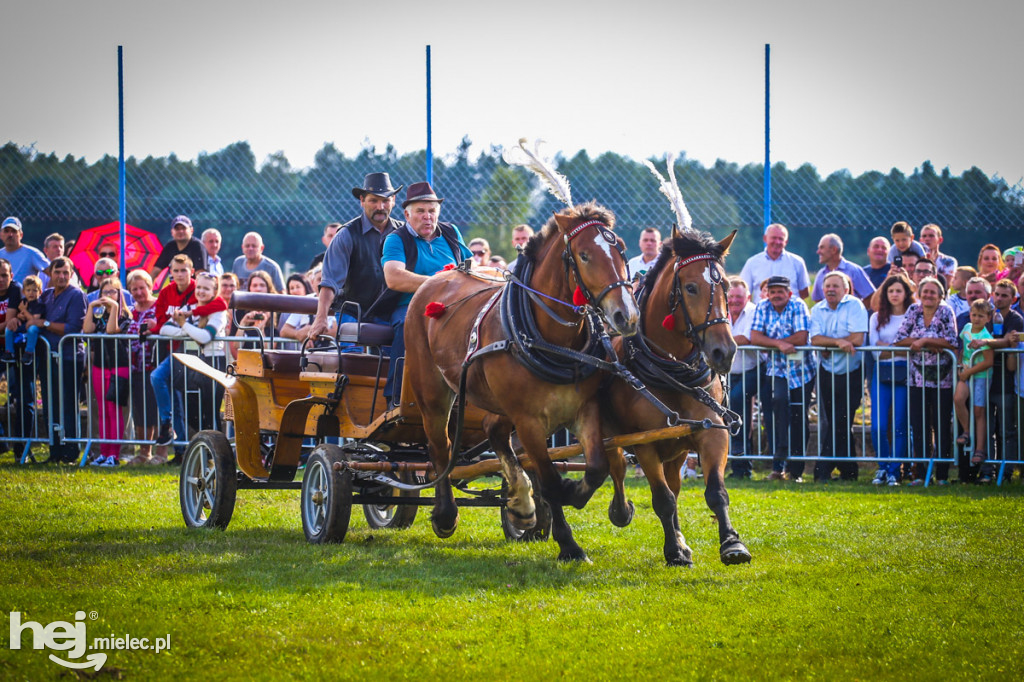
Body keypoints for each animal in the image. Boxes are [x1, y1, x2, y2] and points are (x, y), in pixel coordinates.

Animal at [401, 199, 634, 561]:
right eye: (583, 255)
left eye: (620, 249)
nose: (626, 315)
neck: (551, 341)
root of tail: (437, 278)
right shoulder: (528, 421)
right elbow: (549, 480)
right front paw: (569, 544)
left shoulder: (585, 408)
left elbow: (596, 468)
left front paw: (567, 496)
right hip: (431, 391)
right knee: (441, 447)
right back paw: (446, 515)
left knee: (492, 431)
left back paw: (521, 503)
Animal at [602, 225, 749, 565]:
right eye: (691, 287)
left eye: (725, 286)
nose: (724, 352)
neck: (672, 373)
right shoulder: (645, 442)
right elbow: (662, 498)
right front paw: (674, 551)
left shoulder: (712, 432)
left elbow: (715, 492)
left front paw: (732, 543)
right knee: (616, 467)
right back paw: (620, 511)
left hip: (677, 447)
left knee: (675, 481)